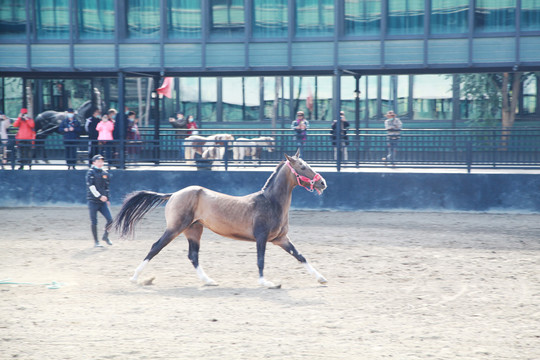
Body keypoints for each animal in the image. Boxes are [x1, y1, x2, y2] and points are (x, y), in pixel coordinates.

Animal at [112, 150, 326, 288]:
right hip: (175, 228)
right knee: (155, 247)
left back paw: (209, 281)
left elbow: (300, 256)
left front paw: (321, 278)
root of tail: (173, 194)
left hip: (194, 230)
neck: (270, 202)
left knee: (193, 255)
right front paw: (267, 282)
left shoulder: (280, 239)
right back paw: (135, 277)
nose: (322, 183)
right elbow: (261, 260)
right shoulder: (262, 237)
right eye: (302, 167)